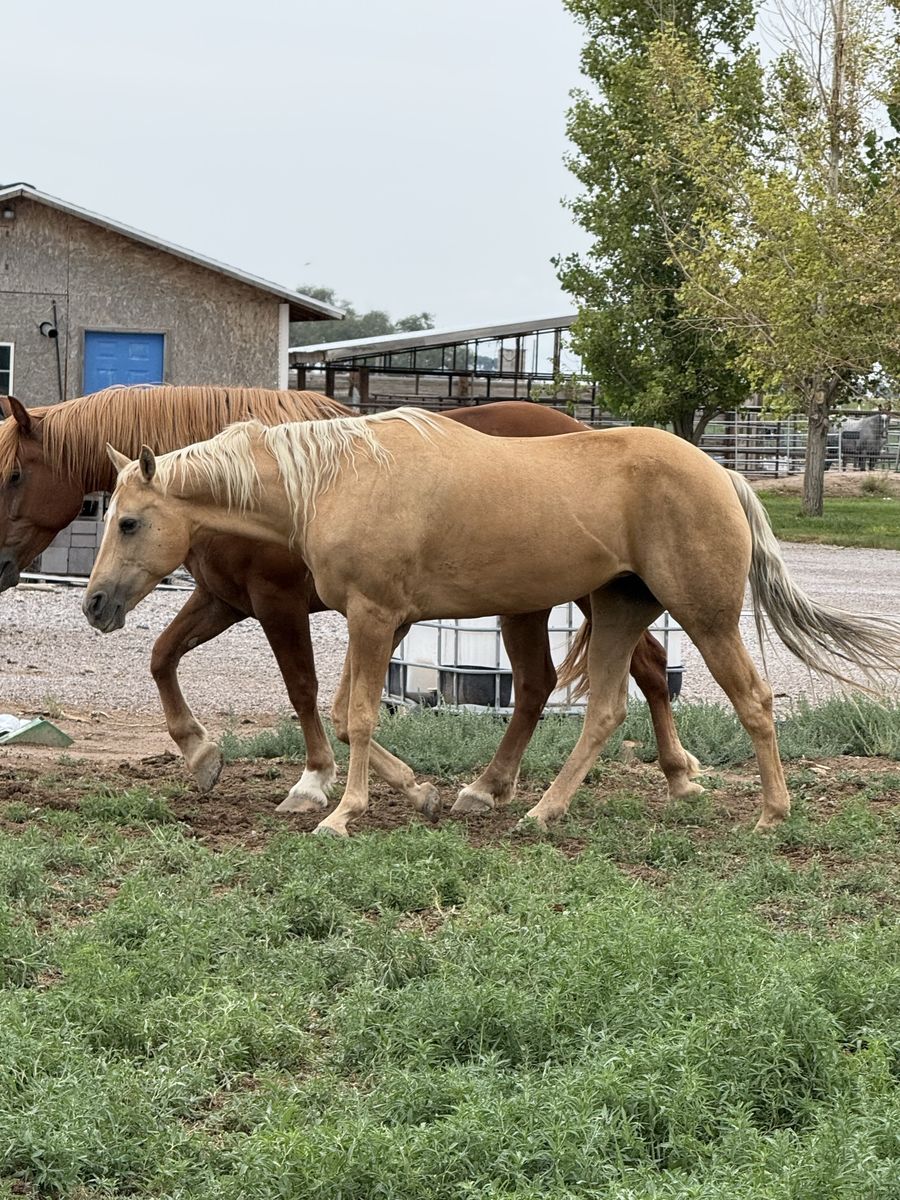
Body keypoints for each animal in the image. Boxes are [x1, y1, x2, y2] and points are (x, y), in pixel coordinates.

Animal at [0, 388, 700, 814]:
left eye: (11, 474)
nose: (94, 604)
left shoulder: (277, 604)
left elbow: (304, 690)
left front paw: (314, 782)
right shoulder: (223, 599)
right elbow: (162, 658)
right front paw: (202, 755)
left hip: (558, 599)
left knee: (556, 680)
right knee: (630, 669)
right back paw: (667, 773)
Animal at [84, 409, 900, 836]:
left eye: (128, 522)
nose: (94, 604)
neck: (337, 479)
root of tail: (719, 471)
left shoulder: (373, 616)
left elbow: (354, 715)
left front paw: (342, 814)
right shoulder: (371, 619)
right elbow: (345, 715)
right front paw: (416, 791)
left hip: (704, 615)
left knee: (753, 701)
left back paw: (771, 813)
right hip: (617, 610)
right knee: (604, 709)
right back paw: (539, 809)